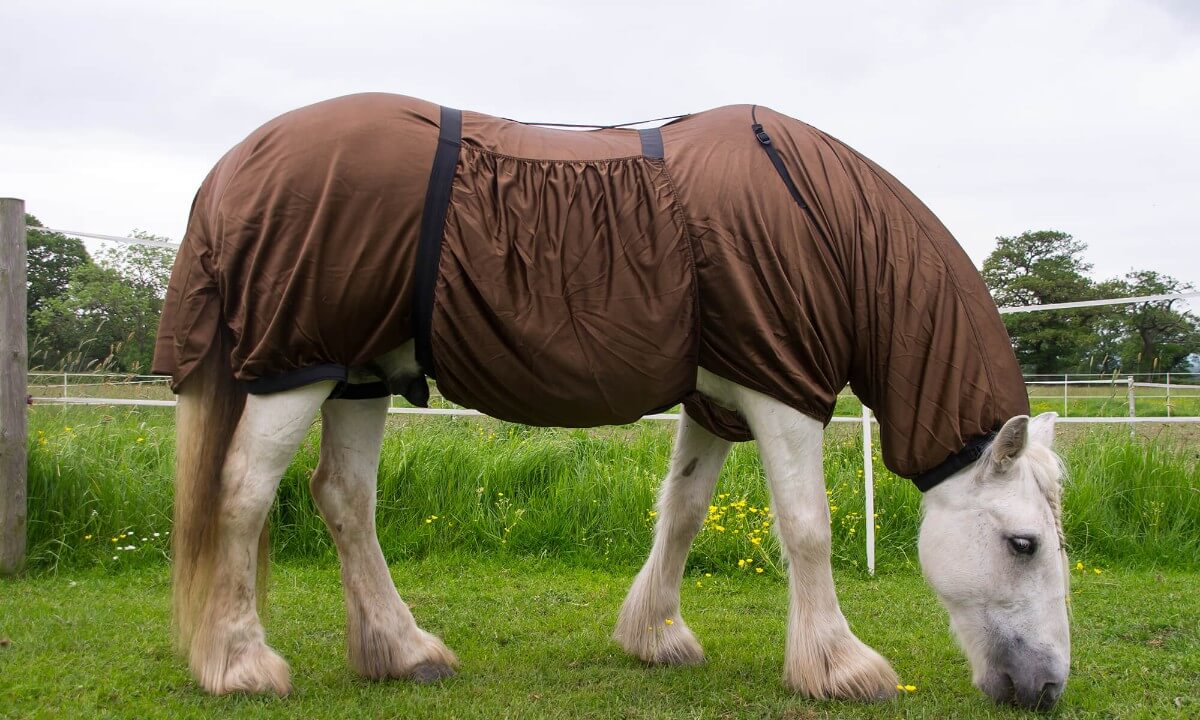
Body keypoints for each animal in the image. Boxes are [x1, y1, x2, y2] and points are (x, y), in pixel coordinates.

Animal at [153, 93, 1070, 709]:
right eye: (1023, 544)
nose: (1047, 689)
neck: (818, 216)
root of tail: (237, 165)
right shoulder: (783, 390)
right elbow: (807, 525)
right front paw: (840, 666)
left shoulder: (715, 401)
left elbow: (685, 511)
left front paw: (656, 636)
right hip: (298, 367)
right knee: (242, 496)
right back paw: (240, 664)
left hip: (359, 374)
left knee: (344, 497)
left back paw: (402, 651)